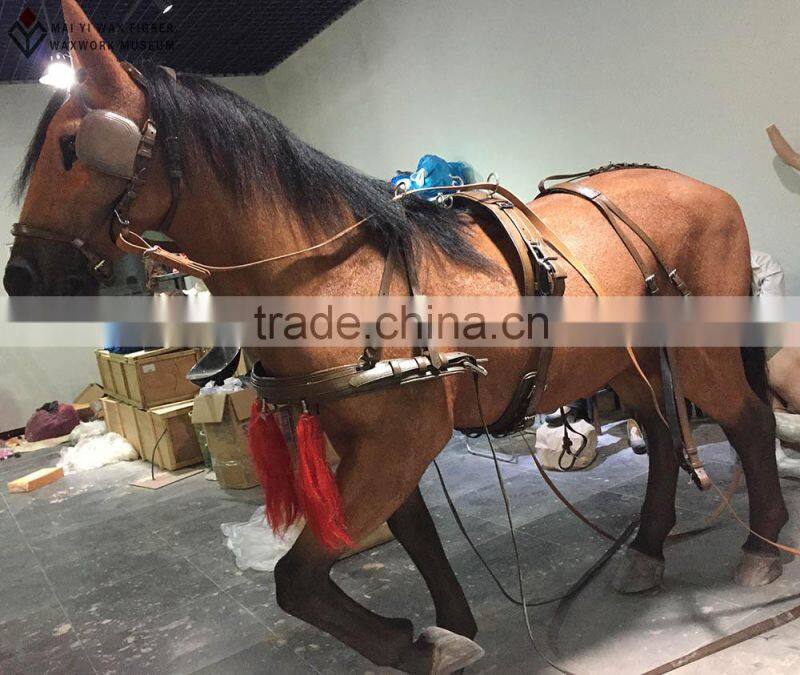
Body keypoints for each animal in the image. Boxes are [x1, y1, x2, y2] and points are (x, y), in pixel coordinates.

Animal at [3, 2, 789, 672]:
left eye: (72, 148)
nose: (21, 276)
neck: (327, 271)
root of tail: (707, 188)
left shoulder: (397, 439)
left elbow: (296, 580)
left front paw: (412, 645)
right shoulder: (373, 438)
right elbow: (414, 535)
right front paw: (452, 628)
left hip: (699, 354)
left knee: (747, 421)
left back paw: (762, 543)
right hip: (626, 364)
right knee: (663, 435)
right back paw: (650, 547)